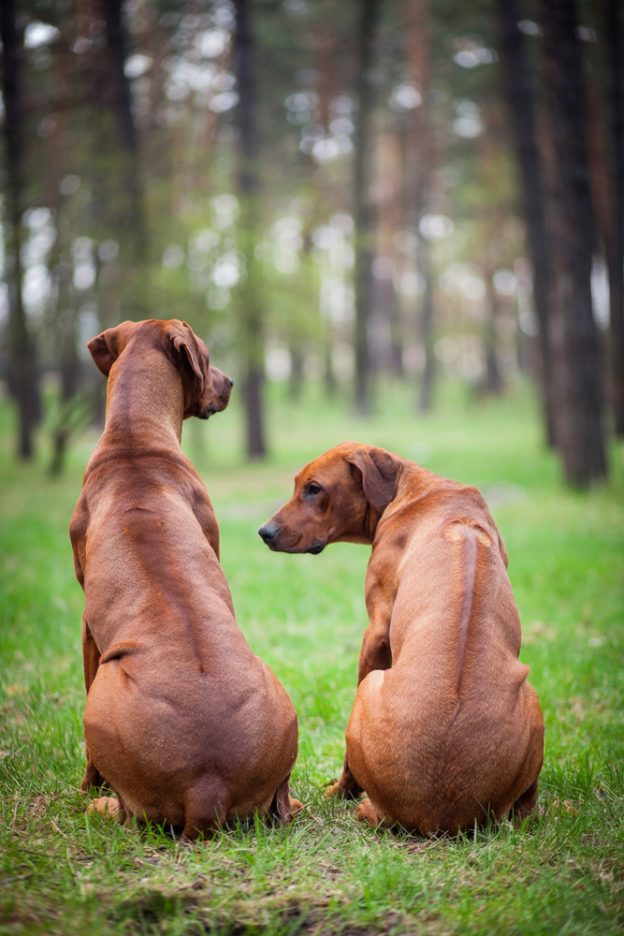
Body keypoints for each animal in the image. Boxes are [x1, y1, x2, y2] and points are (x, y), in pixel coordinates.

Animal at [70, 318, 300, 836]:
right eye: (210, 357)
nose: (231, 382)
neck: (134, 440)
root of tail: (205, 787)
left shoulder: (87, 627)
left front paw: (88, 786)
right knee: (280, 801)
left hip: (102, 701)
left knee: (124, 809)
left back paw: (98, 805)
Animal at [258, 442, 540, 836]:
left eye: (314, 489)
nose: (264, 532)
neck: (413, 491)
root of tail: (438, 814)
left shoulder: (376, 632)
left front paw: (340, 790)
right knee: (526, 807)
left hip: (370, 688)